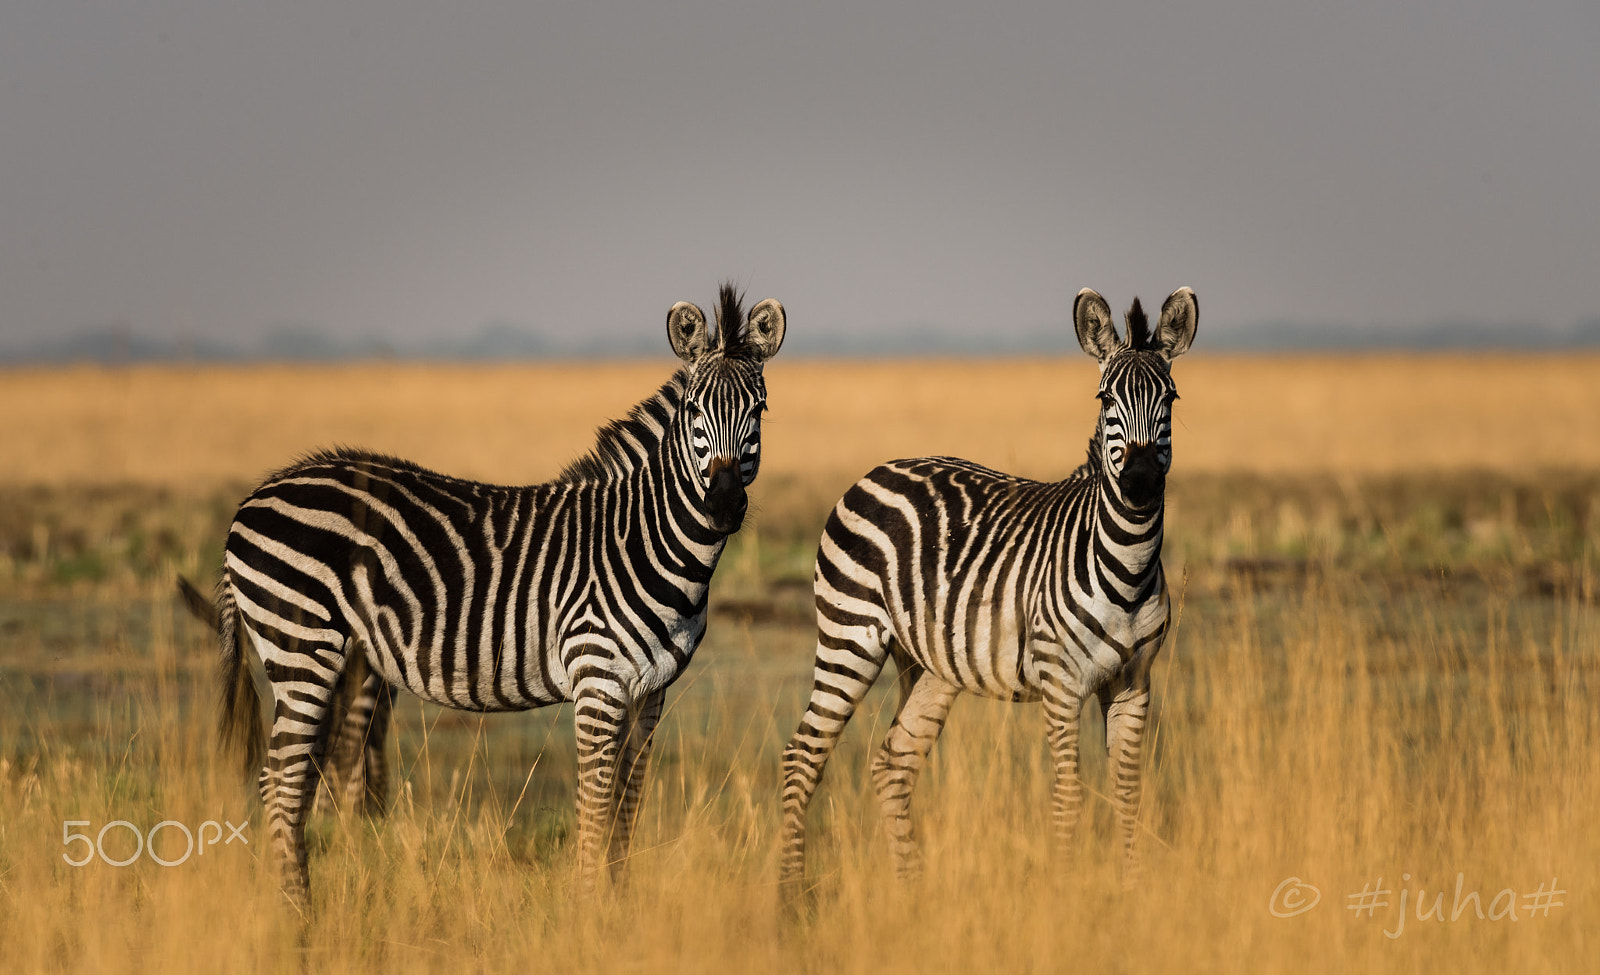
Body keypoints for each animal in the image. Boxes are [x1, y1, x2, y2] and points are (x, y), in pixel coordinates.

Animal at [200, 284, 787, 902]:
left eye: (760, 410)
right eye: (693, 410)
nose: (723, 505)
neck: (644, 537)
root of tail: (254, 496)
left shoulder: (651, 692)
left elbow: (626, 809)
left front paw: (617, 906)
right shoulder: (597, 680)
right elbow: (595, 808)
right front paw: (589, 911)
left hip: (330, 657)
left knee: (294, 781)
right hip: (300, 644)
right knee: (280, 784)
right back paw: (298, 914)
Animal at [774, 284, 1203, 902]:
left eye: (1169, 398)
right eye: (1105, 398)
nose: (1142, 482)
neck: (1128, 566)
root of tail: (876, 469)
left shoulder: (1134, 683)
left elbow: (1128, 794)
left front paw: (1133, 893)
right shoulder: (1060, 684)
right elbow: (1068, 796)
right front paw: (1067, 897)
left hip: (931, 667)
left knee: (892, 764)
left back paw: (911, 894)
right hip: (848, 638)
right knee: (802, 756)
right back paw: (790, 898)